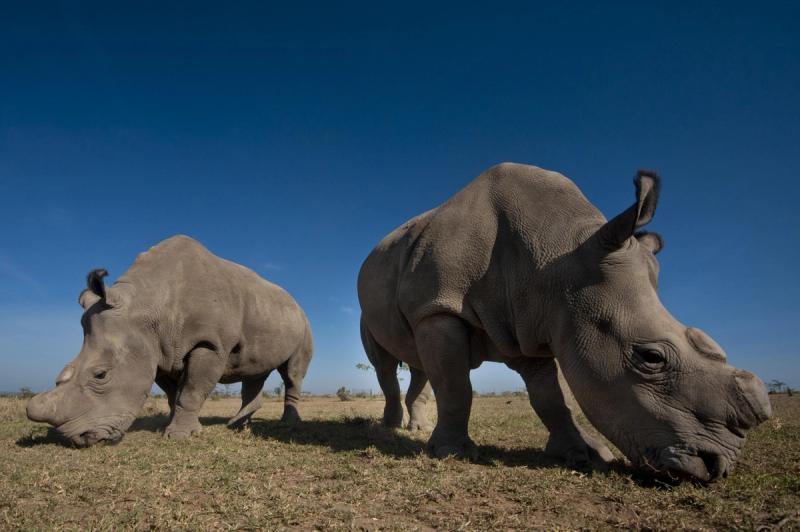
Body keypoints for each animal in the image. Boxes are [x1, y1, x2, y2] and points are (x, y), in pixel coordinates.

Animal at [27, 235, 313, 446]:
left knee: (291, 373)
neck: (146, 305)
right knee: (254, 372)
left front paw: (179, 436)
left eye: (101, 375)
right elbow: (173, 393)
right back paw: (237, 425)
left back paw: (286, 423)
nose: (76, 439)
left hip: (303, 323)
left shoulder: (209, 344)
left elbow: (191, 390)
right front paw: (171, 426)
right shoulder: (158, 350)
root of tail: (295, 303)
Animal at [358, 163, 771, 482]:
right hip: (381, 309)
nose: (717, 466)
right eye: (651, 358)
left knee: (419, 365)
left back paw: (415, 428)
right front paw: (453, 453)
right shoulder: (439, 308)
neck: (559, 256)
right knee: (386, 364)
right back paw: (389, 429)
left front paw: (584, 454)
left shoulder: (529, 321)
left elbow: (550, 398)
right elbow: (457, 387)